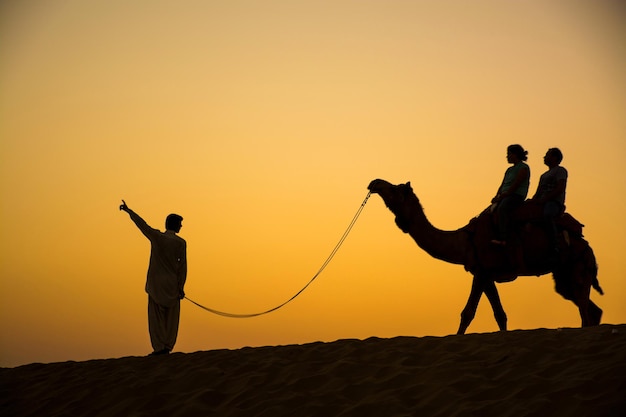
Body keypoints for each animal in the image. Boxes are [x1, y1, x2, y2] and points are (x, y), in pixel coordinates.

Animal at [366, 177, 600, 334]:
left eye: (394, 188)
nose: (374, 183)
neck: (464, 241)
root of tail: (586, 244)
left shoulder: (481, 272)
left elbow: (468, 313)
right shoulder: (485, 273)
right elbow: (500, 315)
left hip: (578, 265)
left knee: (583, 306)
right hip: (564, 275)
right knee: (589, 307)